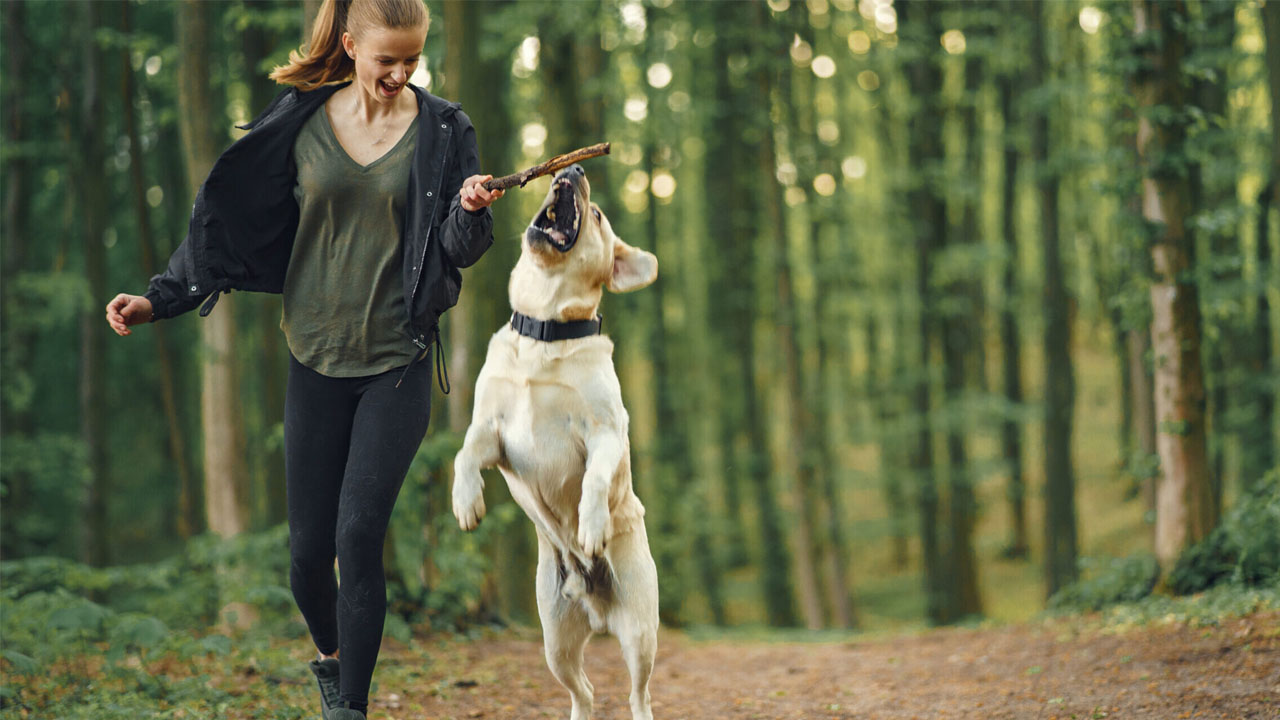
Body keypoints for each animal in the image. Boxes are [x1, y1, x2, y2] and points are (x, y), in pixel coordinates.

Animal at [453, 163, 660, 717]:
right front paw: (466, 502)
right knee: (583, 690)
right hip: (555, 643)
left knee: (638, 693)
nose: (573, 167)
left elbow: (594, 481)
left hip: (641, 633)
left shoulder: (605, 433)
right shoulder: (492, 433)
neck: (544, 330)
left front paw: (591, 526)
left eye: (599, 214)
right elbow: (463, 454)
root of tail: (597, 608)